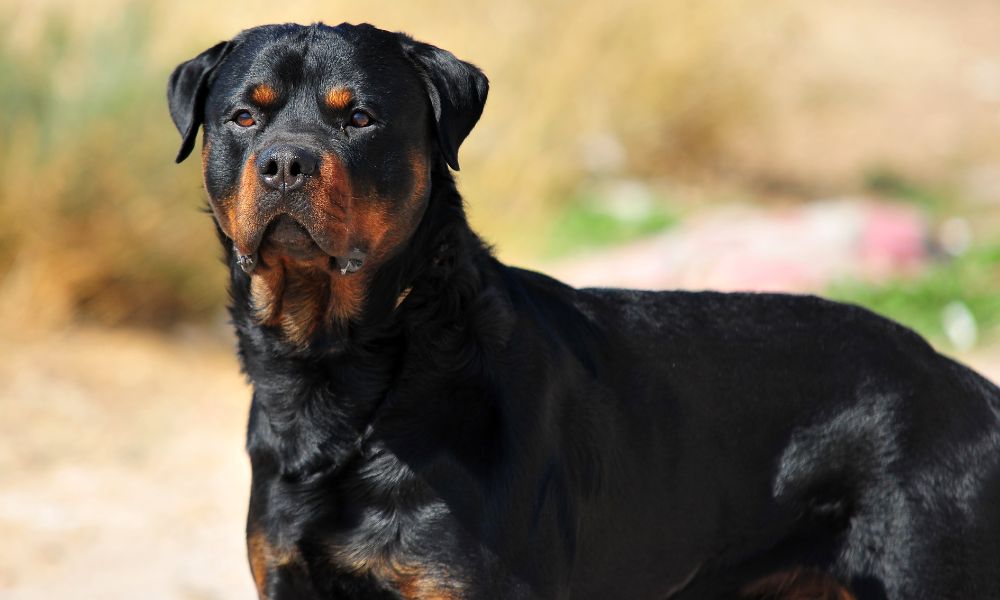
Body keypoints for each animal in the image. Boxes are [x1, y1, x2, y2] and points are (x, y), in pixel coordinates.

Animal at [168, 23, 996, 600]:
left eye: (361, 118)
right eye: (244, 117)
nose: (286, 162)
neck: (344, 372)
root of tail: (969, 387)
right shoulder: (288, 573)